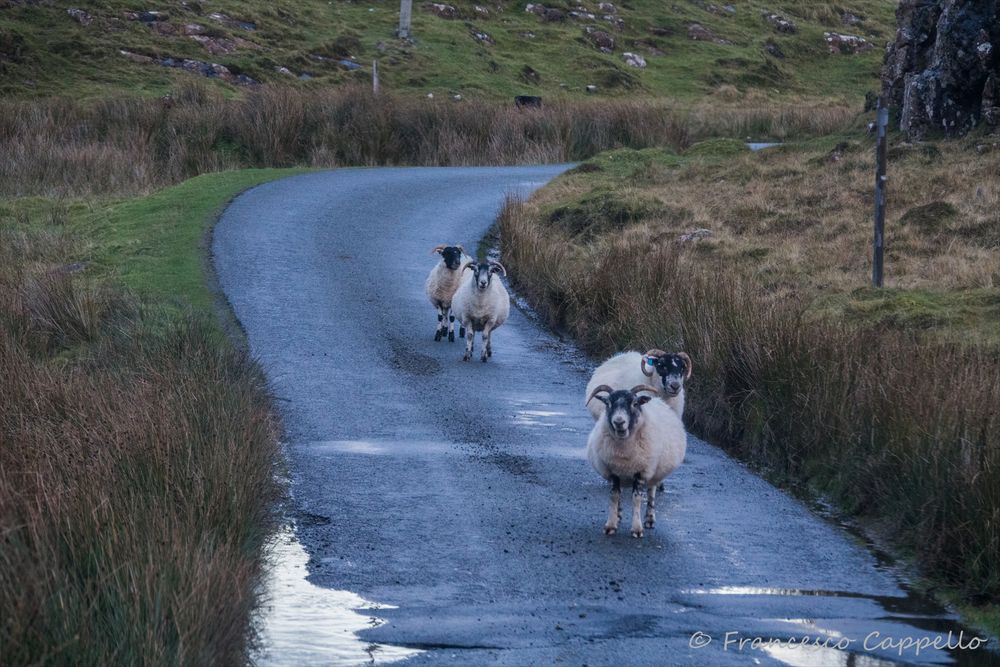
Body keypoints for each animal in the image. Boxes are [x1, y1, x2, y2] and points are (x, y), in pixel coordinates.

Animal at [584, 386, 688, 536]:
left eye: (635, 403)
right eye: (608, 403)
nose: (619, 422)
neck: (624, 451)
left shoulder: (641, 471)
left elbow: (637, 498)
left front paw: (637, 528)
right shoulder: (613, 471)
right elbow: (614, 496)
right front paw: (611, 525)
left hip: (654, 472)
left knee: (651, 493)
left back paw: (650, 519)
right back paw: (619, 515)